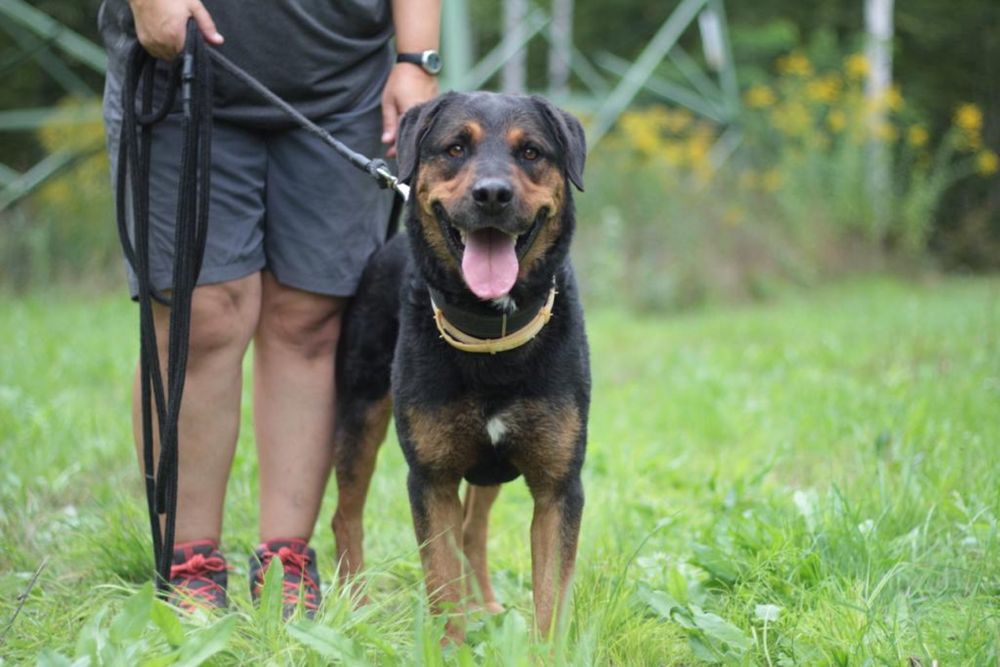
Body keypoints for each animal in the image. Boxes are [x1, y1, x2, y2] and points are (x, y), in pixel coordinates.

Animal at [332, 90, 588, 640]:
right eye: (454, 148)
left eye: (531, 152)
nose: (492, 195)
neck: (491, 332)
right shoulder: (432, 478)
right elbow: (441, 582)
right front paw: (451, 645)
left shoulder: (558, 486)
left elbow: (550, 598)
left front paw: (541, 648)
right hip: (360, 411)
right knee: (345, 516)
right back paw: (357, 608)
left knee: (474, 528)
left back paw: (485, 606)